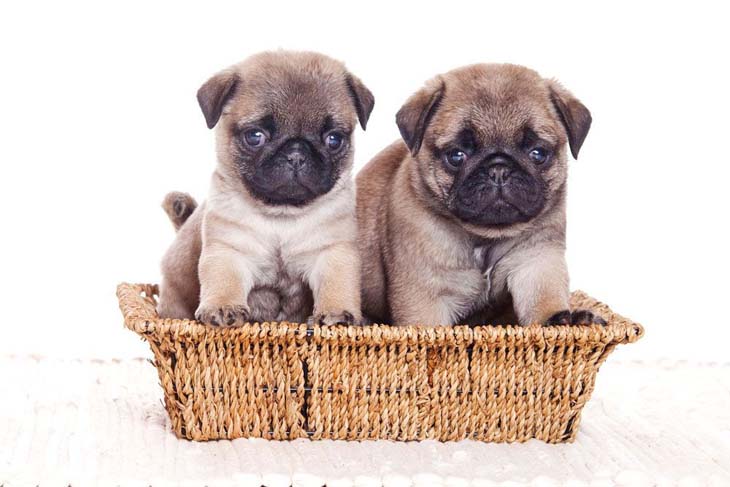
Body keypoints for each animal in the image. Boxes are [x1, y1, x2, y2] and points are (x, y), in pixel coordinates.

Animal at [160, 51, 376, 328]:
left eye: (334, 139)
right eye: (255, 136)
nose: (296, 154)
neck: (282, 215)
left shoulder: (332, 253)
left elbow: (336, 284)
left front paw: (336, 314)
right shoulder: (229, 251)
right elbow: (224, 280)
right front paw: (222, 307)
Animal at [356, 63, 604, 326]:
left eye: (538, 153)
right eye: (456, 155)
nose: (499, 169)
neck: (485, 237)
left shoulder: (536, 262)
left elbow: (544, 299)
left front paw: (562, 320)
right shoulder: (425, 294)